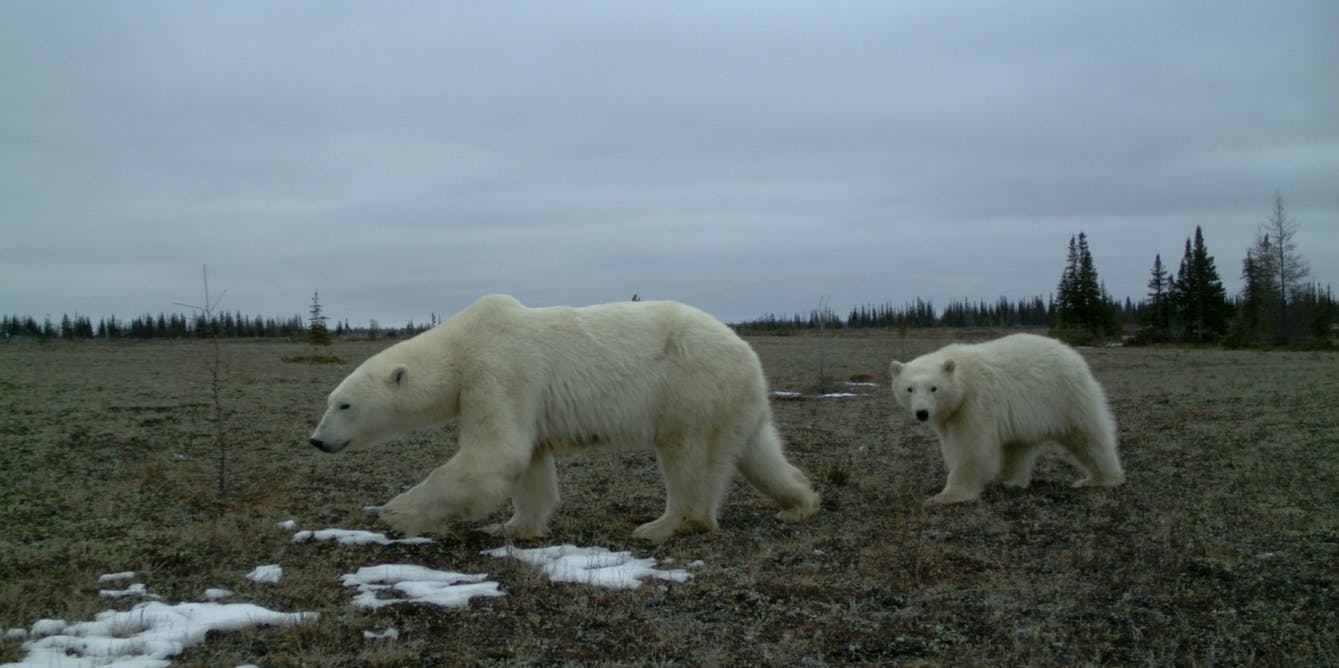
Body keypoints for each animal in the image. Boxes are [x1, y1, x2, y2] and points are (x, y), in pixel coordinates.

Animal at [308, 294, 820, 543]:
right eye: (330, 399)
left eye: (344, 404)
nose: (316, 440)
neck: (460, 345)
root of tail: (747, 352)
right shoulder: (518, 395)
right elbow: (529, 461)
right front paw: (513, 527)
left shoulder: (499, 370)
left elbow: (494, 453)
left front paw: (394, 512)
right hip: (734, 401)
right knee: (758, 453)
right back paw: (799, 502)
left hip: (691, 386)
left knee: (688, 456)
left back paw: (663, 526)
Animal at [888, 333, 1124, 505]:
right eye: (909, 388)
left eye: (934, 388)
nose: (922, 412)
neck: (962, 374)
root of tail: (1072, 354)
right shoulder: (952, 414)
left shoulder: (974, 400)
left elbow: (971, 446)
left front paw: (946, 495)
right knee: (1017, 448)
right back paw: (1007, 479)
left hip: (1067, 396)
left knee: (1088, 436)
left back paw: (1100, 479)